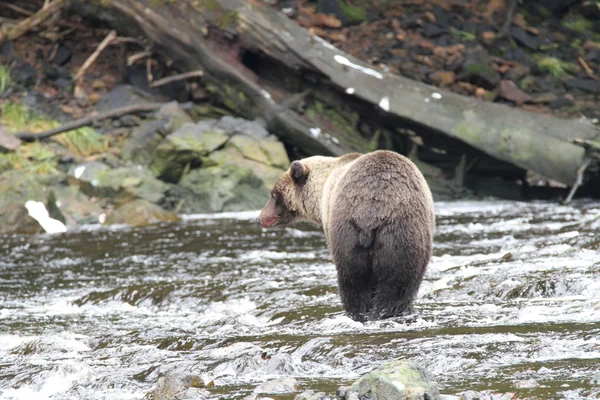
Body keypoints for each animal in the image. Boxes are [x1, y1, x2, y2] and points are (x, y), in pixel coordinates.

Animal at [258, 150, 436, 322]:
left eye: (273, 194)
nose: (260, 218)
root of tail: (371, 209)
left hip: (381, 230)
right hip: (380, 234)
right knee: (376, 280)